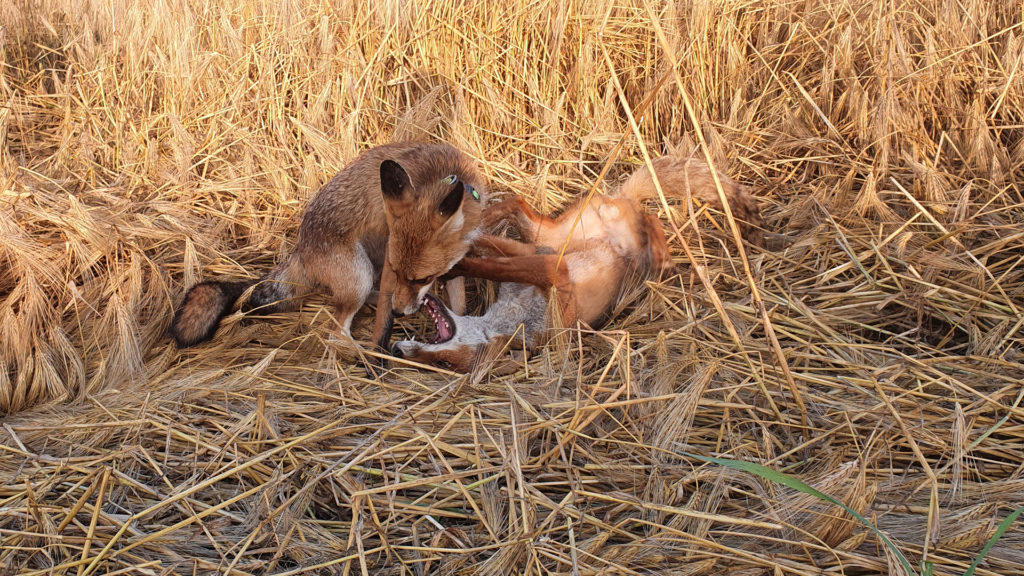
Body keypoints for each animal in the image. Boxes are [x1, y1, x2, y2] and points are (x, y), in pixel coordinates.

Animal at [167, 141, 487, 352]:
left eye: (423, 279)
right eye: (398, 271)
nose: (399, 313)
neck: (443, 175)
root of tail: (300, 249)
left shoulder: (453, 263)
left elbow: (459, 304)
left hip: (365, 272)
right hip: (360, 275)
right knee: (336, 334)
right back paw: (364, 355)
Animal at [389, 154, 761, 373]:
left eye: (442, 362)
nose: (395, 349)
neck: (517, 318)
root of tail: (618, 202)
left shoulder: (553, 270)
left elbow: (489, 264)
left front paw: (453, 266)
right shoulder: (537, 255)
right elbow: (488, 252)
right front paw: (449, 251)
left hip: (562, 241)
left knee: (654, 220)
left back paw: (662, 257)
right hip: (552, 236)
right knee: (515, 202)